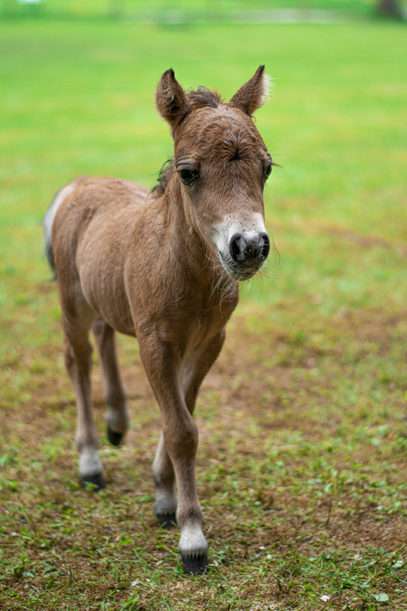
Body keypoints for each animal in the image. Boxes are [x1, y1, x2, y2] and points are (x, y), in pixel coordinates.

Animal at [43, 67, 274, 572]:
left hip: (106, 294)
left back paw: (117, 423)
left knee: (104, 334)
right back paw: (90, 462)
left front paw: (164, 497)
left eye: (266, 168)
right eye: (188, 173)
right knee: (77, 360)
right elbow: (181, 429)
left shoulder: (210, 341)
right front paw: (192, 538)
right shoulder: (156, 342)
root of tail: (77, 185)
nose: (249, 246)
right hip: (71, 299)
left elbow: (183, 414)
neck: (185, 272)